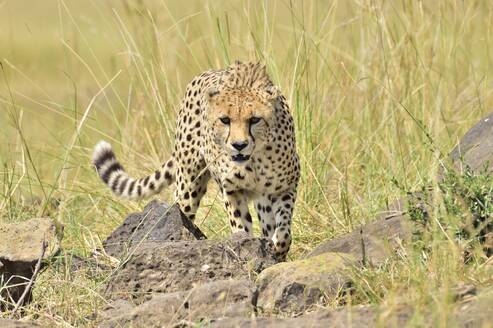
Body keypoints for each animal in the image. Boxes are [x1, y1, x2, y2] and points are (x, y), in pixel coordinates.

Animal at [92, 60, 300, 258]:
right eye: (225, 120)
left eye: (255, 120)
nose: (239, 145)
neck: (253, 161)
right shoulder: (232, 190)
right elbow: (240, 224)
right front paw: (247, 245)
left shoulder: (285, 186)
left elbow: (283, 230)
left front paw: (277, 249)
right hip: (188, 185)